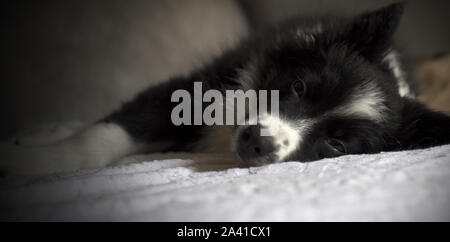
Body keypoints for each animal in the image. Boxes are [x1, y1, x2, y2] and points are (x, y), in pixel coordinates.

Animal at [0, 3, 450, 174]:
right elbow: (106, 134)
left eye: (336, 145)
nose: (256, 141)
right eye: (298, 85)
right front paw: (33, 162)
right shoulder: (202, 84)